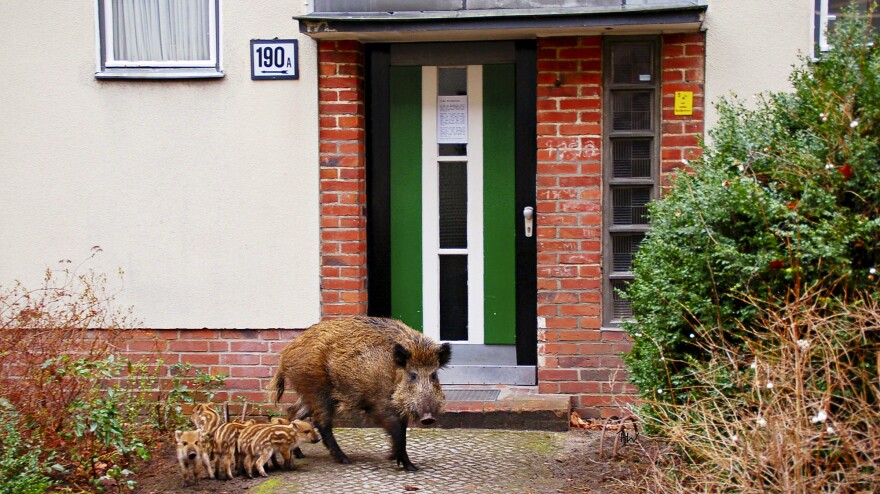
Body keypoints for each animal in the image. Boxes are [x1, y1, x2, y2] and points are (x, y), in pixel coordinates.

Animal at [269, 316, 451, 471]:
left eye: (433, 375)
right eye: (413, 375)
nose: (428, 418)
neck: (393, 372)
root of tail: (285, 356)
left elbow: (402, 432)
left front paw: (392, 457)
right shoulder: (380, 404)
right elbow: (398, 432)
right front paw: (411, 467)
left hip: (308, 394)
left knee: (293, 414)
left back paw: (300, 454)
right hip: (318, 390)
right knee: (321, 422)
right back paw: (344, 459)